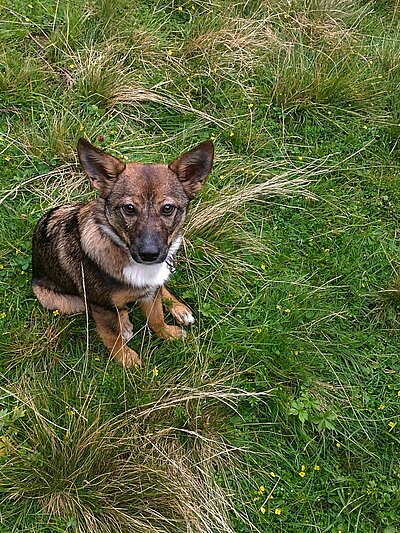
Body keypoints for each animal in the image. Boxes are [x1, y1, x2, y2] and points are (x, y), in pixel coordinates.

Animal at [31, 138, 214, 366]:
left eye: (168, 208)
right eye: (128, 208)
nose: (149, 254)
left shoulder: (151, 293)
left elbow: (156, 318)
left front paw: (169, 333)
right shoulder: (100, 306)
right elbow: (112, 335)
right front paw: (127, 360)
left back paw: (177, 308)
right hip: (57, 300)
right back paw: (125, 322)